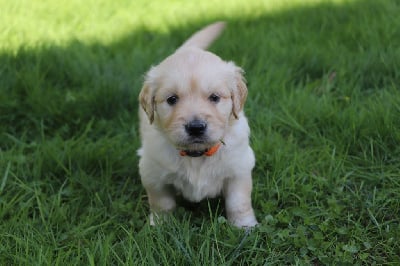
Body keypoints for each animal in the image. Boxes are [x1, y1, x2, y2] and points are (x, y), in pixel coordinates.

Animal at [137, 21, 256, 229]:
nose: (196, 127)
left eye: (215, 97)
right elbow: (161, 203)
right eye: (172, 99)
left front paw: (245, 226)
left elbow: (238, 202)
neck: (197, 154)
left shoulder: (239, 168)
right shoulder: (153, 173)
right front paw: (160, 226)